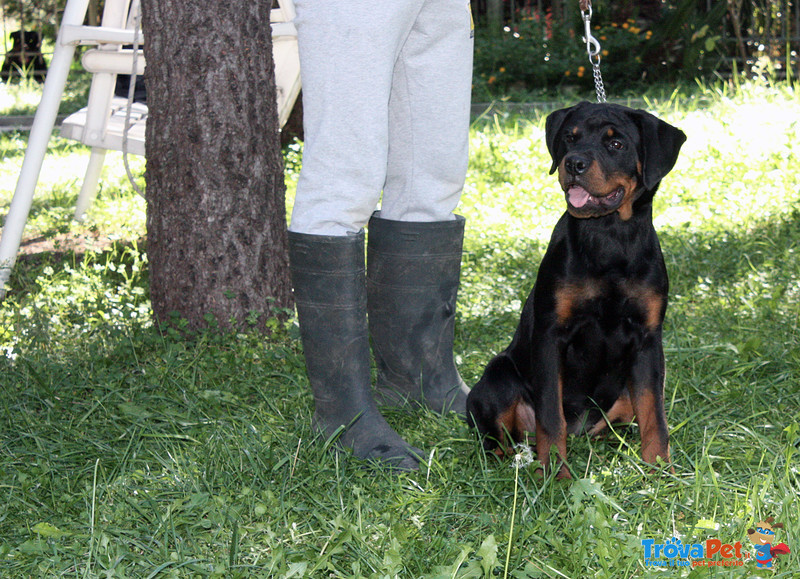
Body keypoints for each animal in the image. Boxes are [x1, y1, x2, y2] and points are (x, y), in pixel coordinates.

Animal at [466, 102, 684, 478]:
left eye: (616, 144)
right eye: (570, 137)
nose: (574, 164)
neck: (608, 236)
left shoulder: (648, 340)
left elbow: (655, 416)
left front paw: (660, 471)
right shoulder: (551, 334)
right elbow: (551, 417)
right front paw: (555, 473)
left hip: (622, 394)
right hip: (498, 379)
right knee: (498, 438)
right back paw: (512, 460)